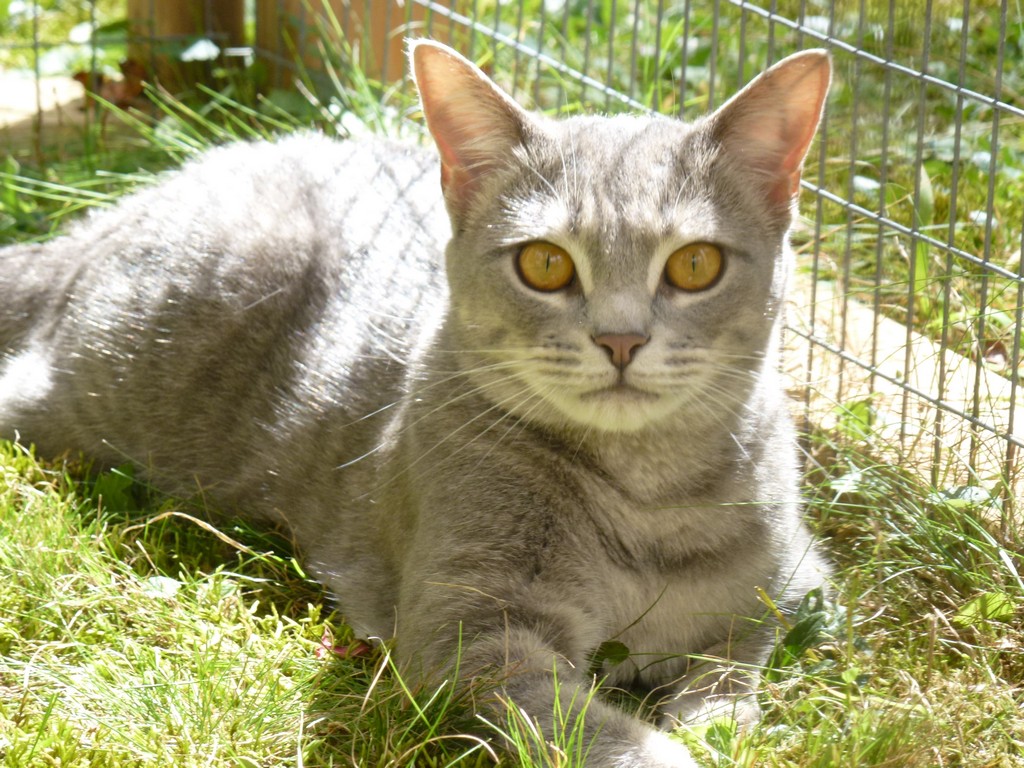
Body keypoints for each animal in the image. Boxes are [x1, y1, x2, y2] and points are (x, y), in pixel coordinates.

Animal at [0, 43, 831, 768]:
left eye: (695, 264)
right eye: (544, 262)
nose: (620, 338)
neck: (646, 501)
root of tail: (118, 210)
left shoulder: (791, 587)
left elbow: (732, 674)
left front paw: (718, 721)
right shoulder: (470, 633)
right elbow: (585, 725)